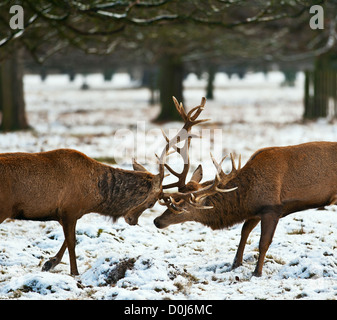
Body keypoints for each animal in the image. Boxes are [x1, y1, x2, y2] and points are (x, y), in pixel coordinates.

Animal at [0, 95, 206, 276]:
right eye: (151, 203)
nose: (133, 220)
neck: (93, 198)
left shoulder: (68, 213)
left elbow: (68, 240)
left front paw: (49, 263)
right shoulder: (69, 209)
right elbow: (72, 242)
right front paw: (74, 272)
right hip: (3, 208)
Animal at [156, 120, 337, 278]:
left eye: (181, 208)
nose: (157, 221)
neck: (246, 199)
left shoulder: (272, 208)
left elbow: (263, 243)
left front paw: (257, 272)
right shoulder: (255, 212)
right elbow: (244, 232)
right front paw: (235, 264)